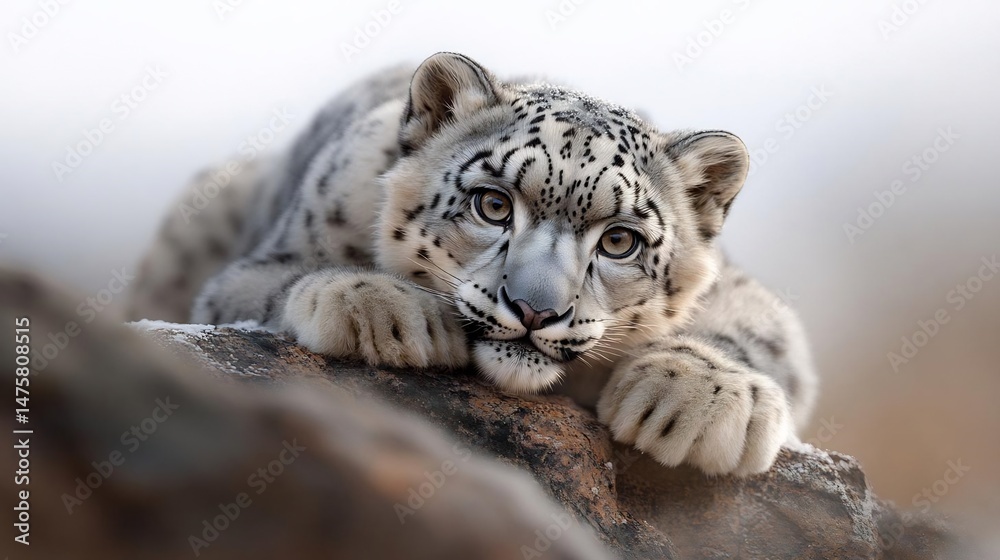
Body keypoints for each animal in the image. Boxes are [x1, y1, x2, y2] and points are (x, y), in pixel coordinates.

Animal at [128, 52, 818, 476]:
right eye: (493, 204)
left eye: (620, 241)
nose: (536, 309)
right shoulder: (252, 267)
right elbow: (284, 277)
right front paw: (386, 311)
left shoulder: (749, 296)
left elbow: (760, 335)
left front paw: (701, 398)